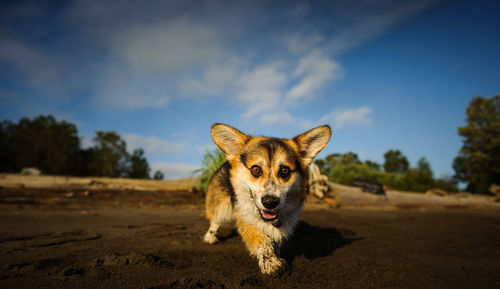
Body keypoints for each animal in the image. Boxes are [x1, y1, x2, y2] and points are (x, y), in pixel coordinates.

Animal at [203, 122, 332, 274]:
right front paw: (271, 261)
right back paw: (210, 237)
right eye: (255, 169)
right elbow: (262, 241)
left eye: (285, 171)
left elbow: (275, 242)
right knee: (215, 221)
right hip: (219, 205)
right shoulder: (246, 219)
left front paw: (275, 255)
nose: (270, 202)